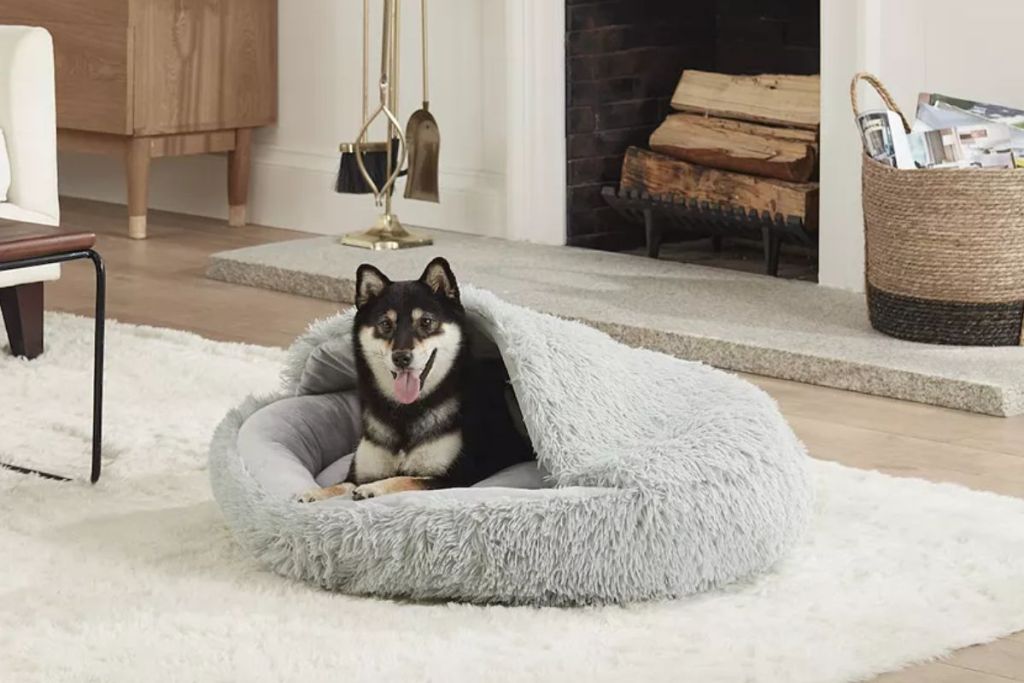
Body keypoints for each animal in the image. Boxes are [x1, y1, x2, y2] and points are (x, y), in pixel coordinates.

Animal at [299, 255, 532, 501]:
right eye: (385, 324)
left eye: (426, 322)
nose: (401, 357)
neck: (405, 412)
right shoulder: (359, 472)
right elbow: (340, 485)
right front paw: (313, 493)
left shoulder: (453, 479)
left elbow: (405, 479)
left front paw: (374, 488)